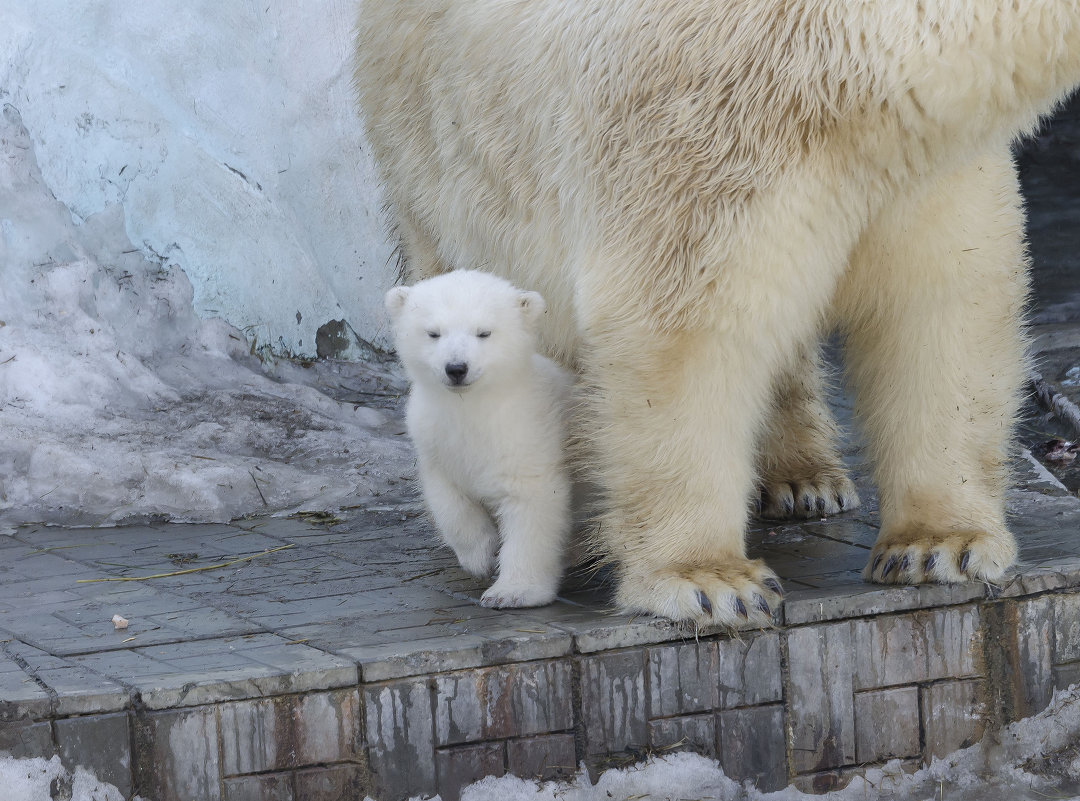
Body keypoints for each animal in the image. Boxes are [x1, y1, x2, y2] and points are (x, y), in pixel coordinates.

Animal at [358, 0, 1080, 626]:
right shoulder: (704, 132)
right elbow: (682, 332)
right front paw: (709, 580)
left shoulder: (918, 164)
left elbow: (940, 311)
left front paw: (938, 545)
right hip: (431, 151)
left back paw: (804, 478)